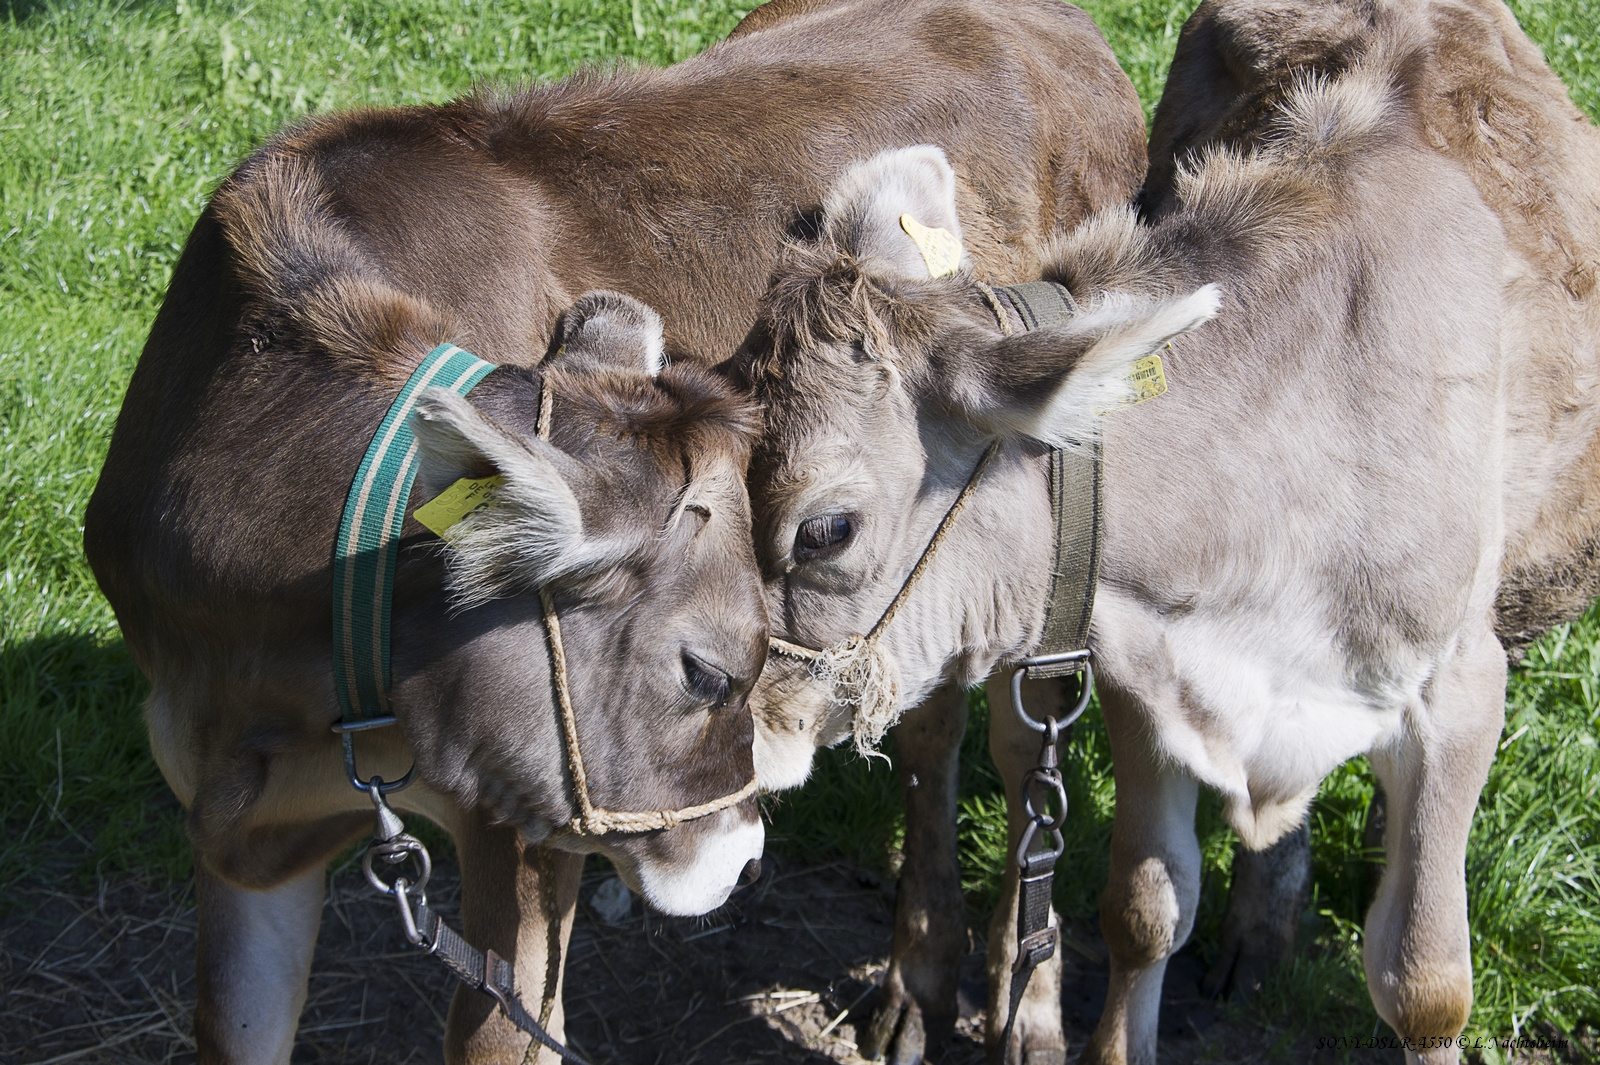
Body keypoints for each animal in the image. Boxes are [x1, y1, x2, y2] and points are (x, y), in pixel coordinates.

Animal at [81, 2, 1152, 1061]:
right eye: (706, 672)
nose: (746, 859)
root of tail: (1071, 31)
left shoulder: (524, 842)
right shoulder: (241, 836)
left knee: (1023, 744)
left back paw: (1019, 1007)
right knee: (926, 719)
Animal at [742, 4, 1593, 1055]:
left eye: (826, 529)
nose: (732, 731)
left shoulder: (1462, 689)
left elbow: (1426, 983)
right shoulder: (1152, 678)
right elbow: (1144, 908)